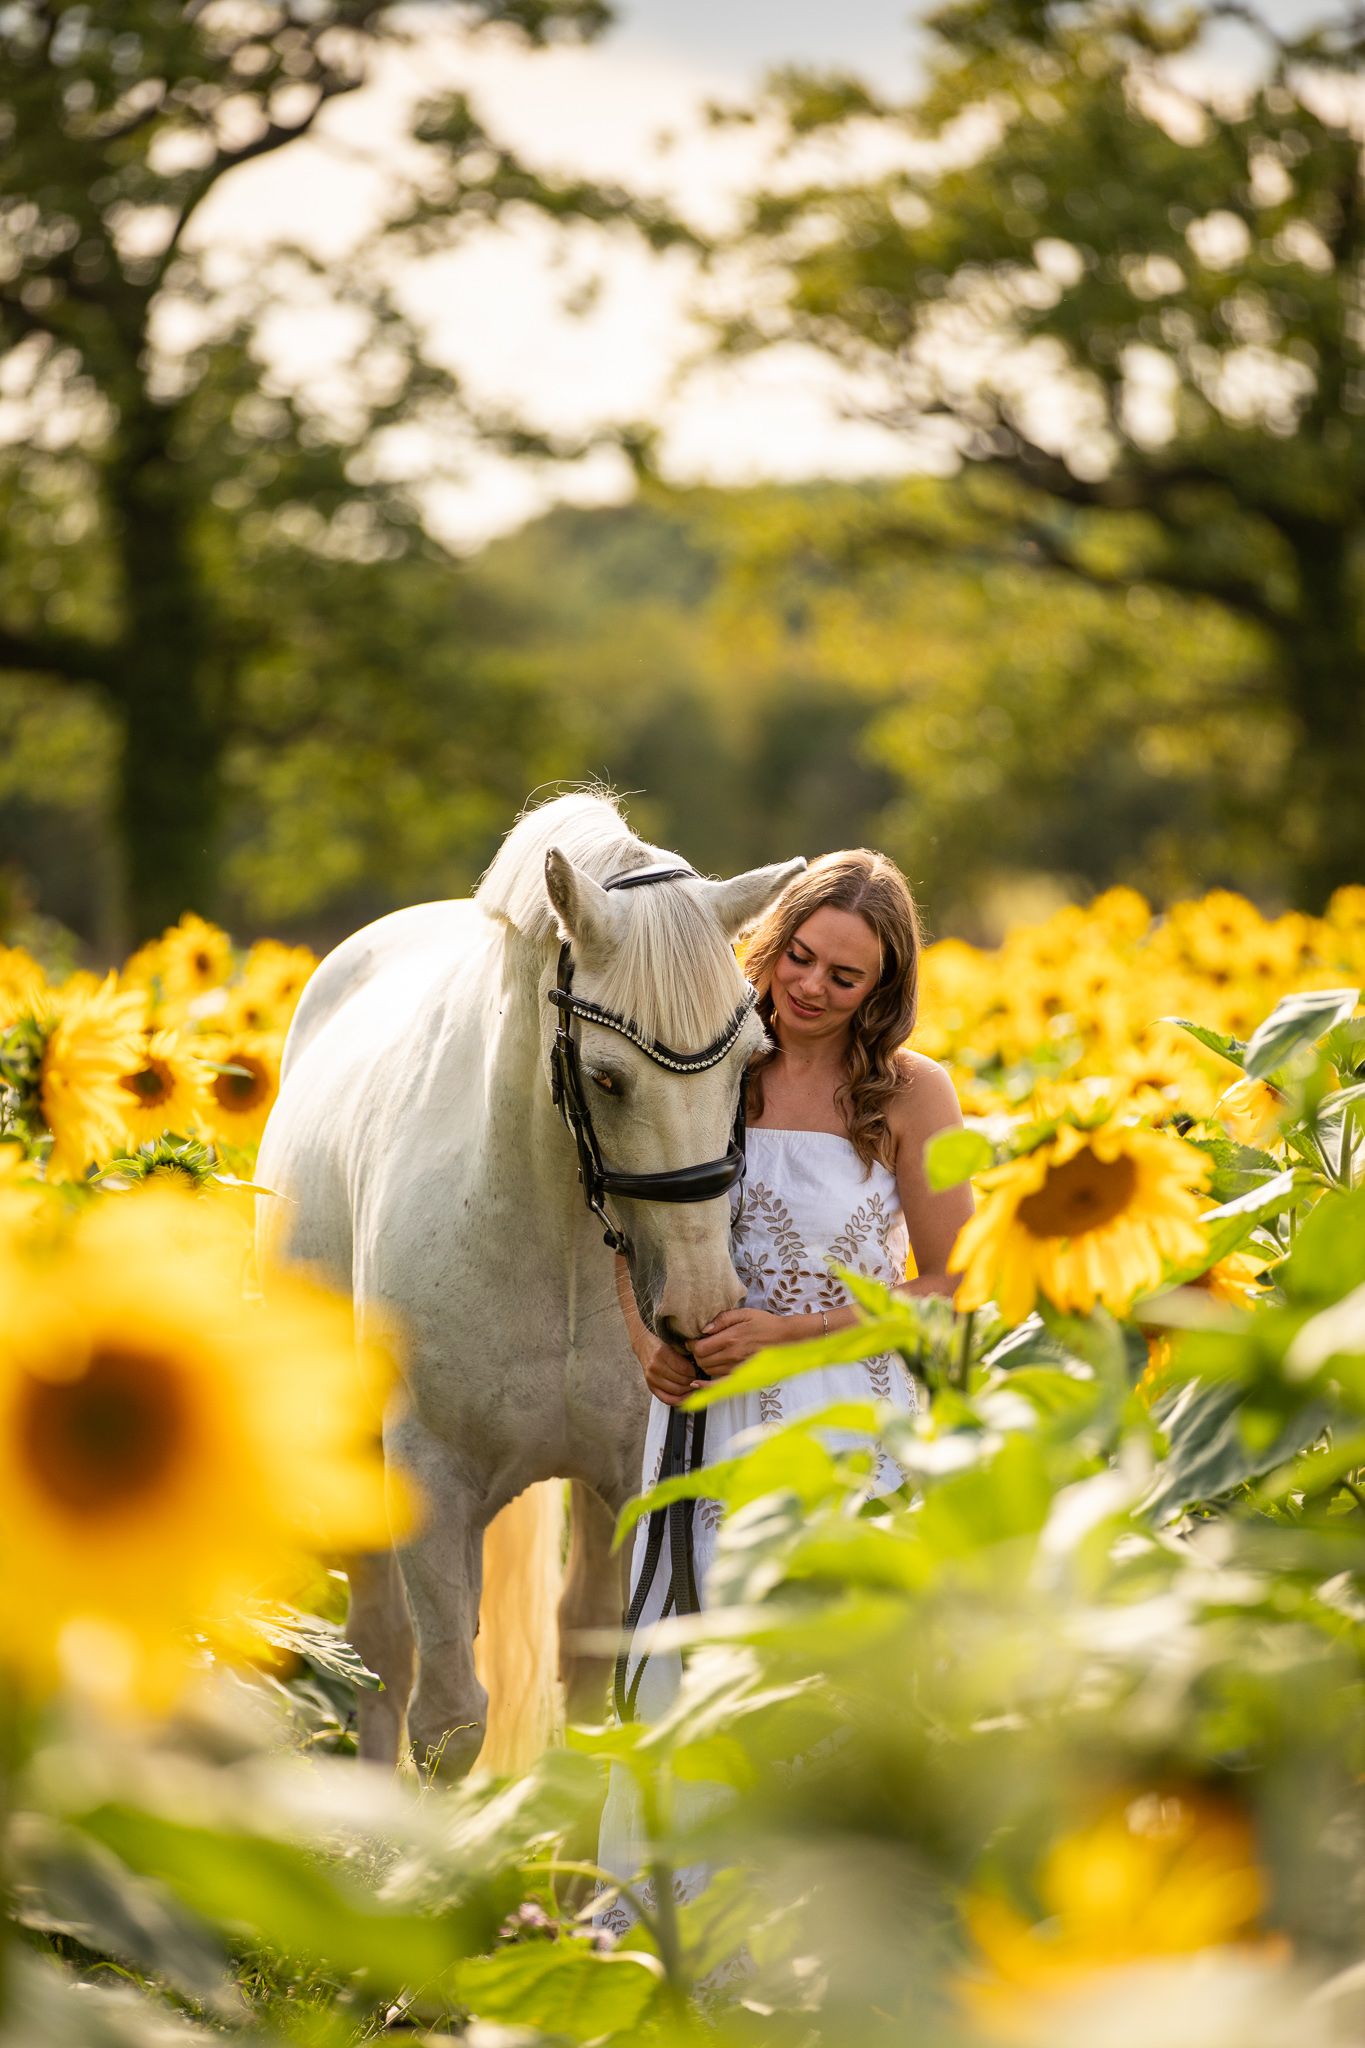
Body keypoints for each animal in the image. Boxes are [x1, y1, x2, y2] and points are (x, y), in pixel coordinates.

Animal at [256, 792, 802, 1773]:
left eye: (752, 1064)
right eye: (607, 1079)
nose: (701, 1305)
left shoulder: (627, 1480)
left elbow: (591, 1689)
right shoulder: (427, 1481)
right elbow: (447, 1719)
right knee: (379, 1653)